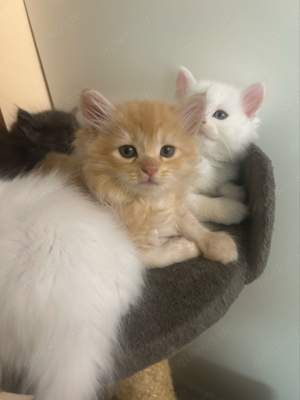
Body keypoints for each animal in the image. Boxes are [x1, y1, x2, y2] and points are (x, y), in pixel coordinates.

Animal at [75, 89, 239, 268]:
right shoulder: (130, 250)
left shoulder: (176, 206)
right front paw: (187, 247)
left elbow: (192, 225)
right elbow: (158, 256)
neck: (148, 203)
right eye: (127, 151)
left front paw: (217, 243)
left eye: (167, 151)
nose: (150, 169)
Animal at [176, 67, 264, 227]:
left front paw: (235, 191)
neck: (203, 157)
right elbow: (202, 203)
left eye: (220, 115)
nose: (201, 120)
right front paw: (232, 209)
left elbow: (217, 184)